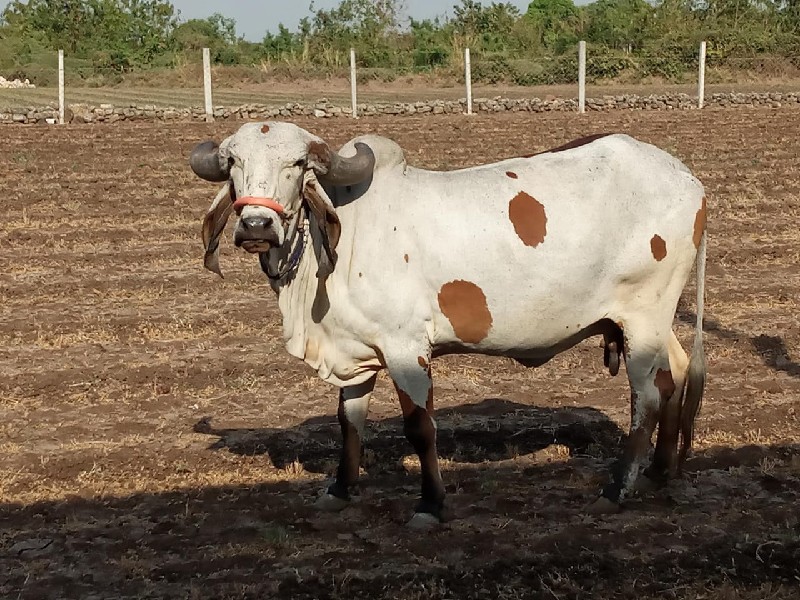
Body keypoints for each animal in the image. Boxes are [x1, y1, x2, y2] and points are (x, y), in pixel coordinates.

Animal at [188, 120, 708, 524]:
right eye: (233, 163)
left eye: (296, 164)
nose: (256, 226)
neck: (342, 235)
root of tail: (689, 179)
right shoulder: (355, 349)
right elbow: (349, 422)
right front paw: (339, 490)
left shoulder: (406, 348)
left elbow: (421, 427)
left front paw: (430, 504)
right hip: (654, 321)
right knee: (676, 375)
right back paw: (659, 470)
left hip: (643, 317)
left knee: (648, 396)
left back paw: (617, 489)